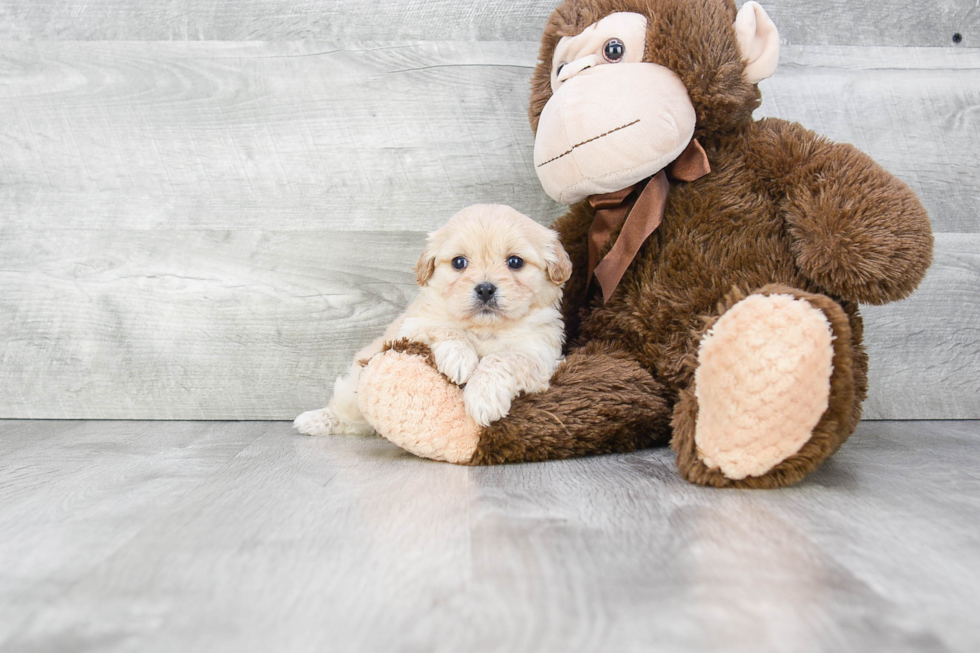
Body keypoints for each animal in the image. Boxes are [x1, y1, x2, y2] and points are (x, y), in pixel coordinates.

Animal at [294, 204, 572, 436]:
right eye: (459, 262)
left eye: (515, 262)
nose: (485, 289)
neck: (484, 328)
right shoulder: (415, 323)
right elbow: (446, 329)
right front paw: (460, 359)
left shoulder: (541, 355)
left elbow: (501, 358)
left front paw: (483, 398)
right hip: (351, 392)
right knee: (345, 415)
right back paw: (313, 420)